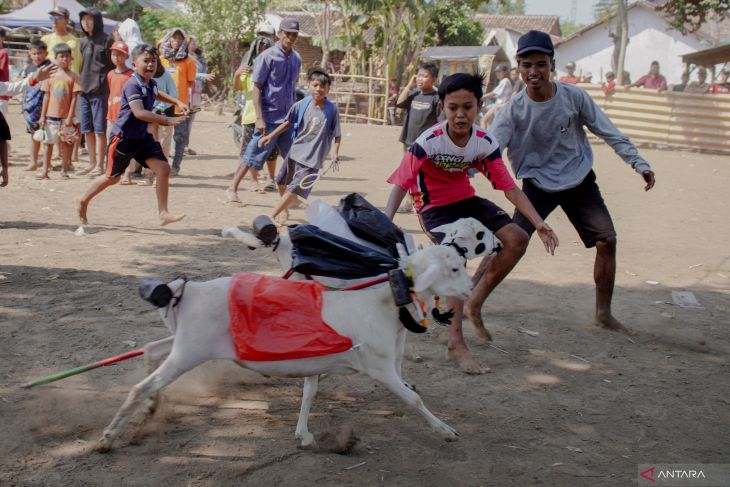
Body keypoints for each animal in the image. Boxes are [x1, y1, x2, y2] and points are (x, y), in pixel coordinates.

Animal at [95, 248, 472, 454]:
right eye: (454, 268)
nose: (469, 290)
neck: (381, 303)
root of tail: (188, 292)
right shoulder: (380, 367)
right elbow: (414, 399)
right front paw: (447, 432)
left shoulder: (317, 362)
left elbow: (310, 392)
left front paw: (304, 435)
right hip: (190, 352)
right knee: (141, 386)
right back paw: (108, 438)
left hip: (185, 344)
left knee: (150, 351)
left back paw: (150, 408)